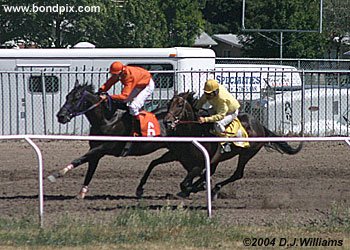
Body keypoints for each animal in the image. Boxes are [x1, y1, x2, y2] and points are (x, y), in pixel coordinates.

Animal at [159, 91, 304, 198]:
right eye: (169, 103)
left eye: (179, 105)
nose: (167, 121)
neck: (197, 131)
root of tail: (259, 124)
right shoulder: (192, 161)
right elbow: (190, 181)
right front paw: (196, 188)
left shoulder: (199, 164)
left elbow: (186, 184)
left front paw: (196, 188)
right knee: (216, 171)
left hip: (247, 153)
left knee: (238, 174)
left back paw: (215, 189)